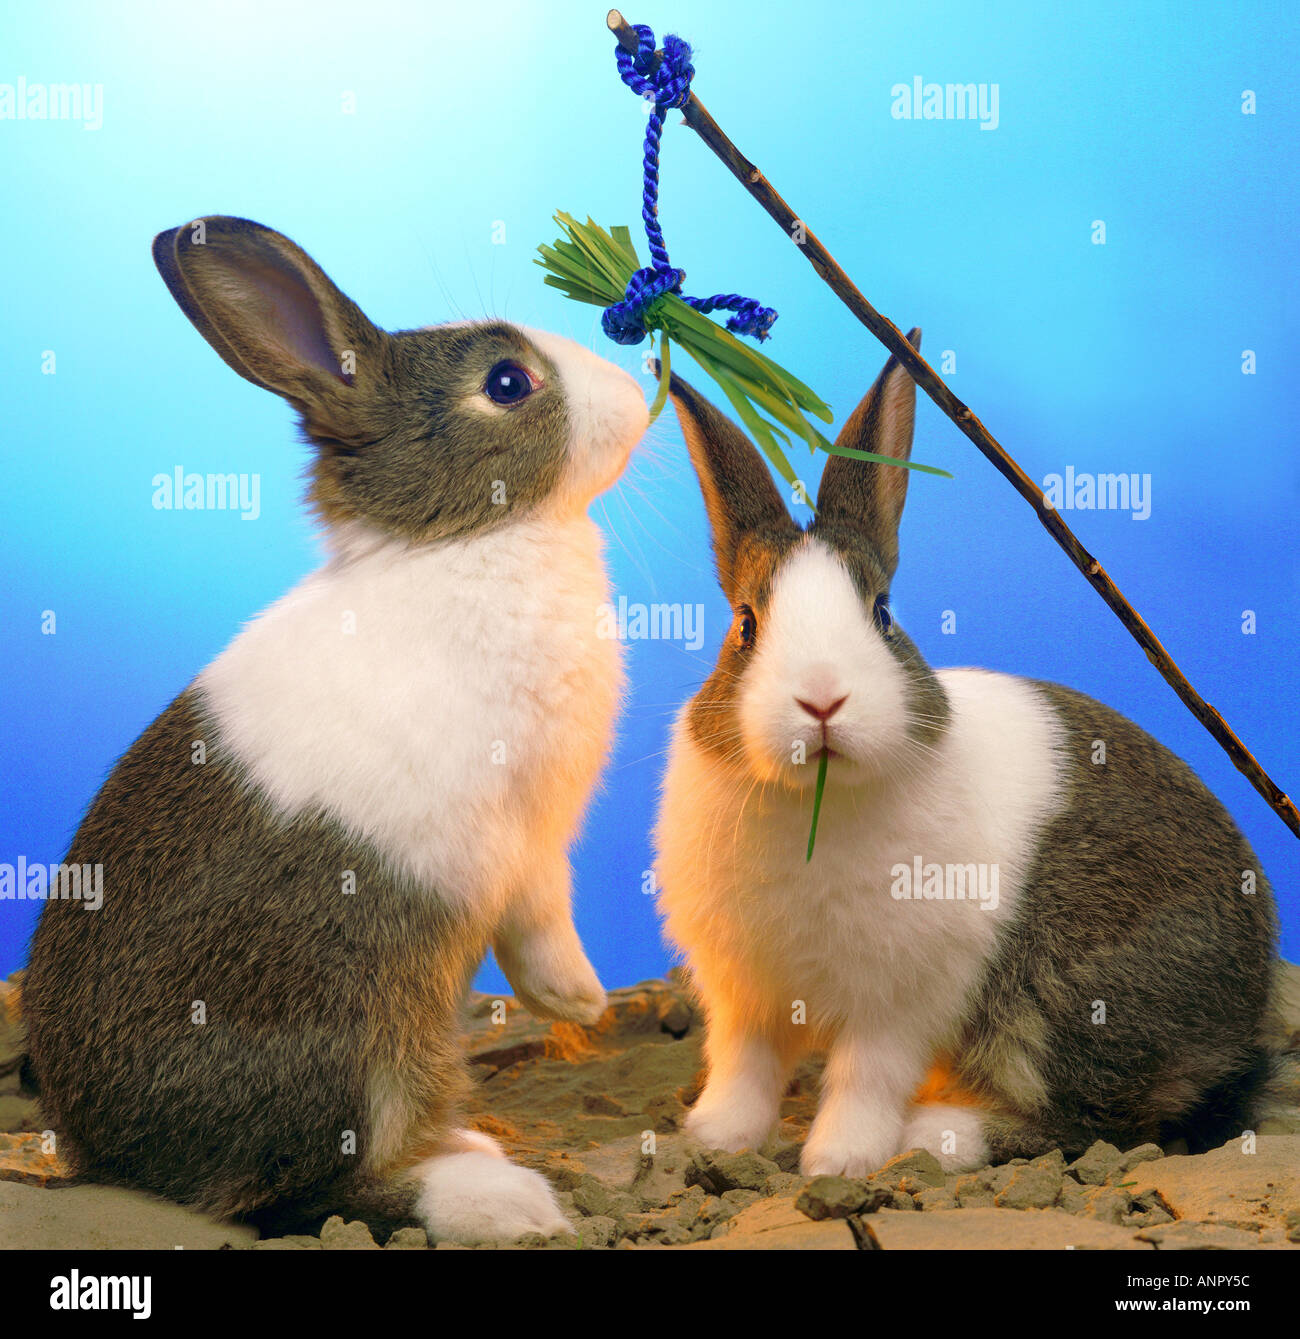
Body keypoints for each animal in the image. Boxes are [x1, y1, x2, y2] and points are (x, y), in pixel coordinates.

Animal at [21, 216, 649, 1243]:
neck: (462, 540)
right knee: (302, 1191)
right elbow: (544, 917)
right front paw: (582, 997)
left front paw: (578, 1006)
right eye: (506, 382)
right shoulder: (525, 833)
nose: (637, 397)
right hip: (347, 1045)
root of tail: (113, 1154)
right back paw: (495, 1195)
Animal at [653, 331, 1279, 1177]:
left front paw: (839, 1161)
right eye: (745, 625)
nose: (822, 700)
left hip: (1071, 999)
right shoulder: (744, 995)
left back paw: (940, 1133)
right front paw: (716, 1137)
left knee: (1106, 1120)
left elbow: (865, 1077)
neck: (816, 803)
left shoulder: (902, 1003)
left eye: (883, 614)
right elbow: (743, 1067)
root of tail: (1243, 1016)